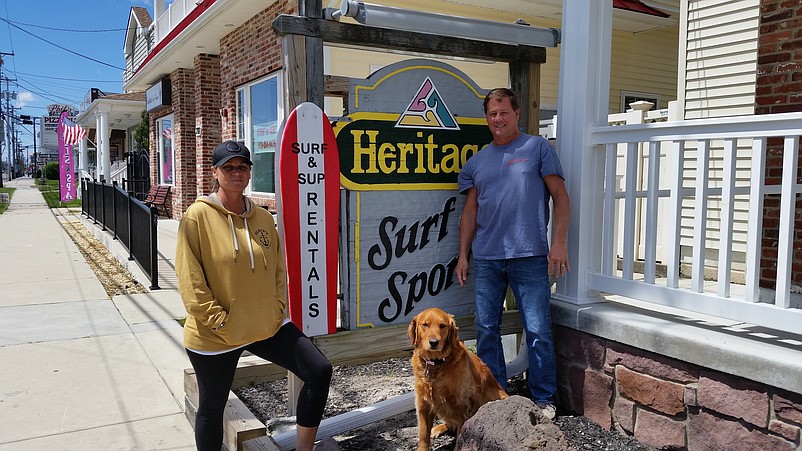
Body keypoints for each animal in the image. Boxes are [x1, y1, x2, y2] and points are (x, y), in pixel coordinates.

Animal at [406, 308, 506, 450]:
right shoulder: (422, 403)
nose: (434, 342)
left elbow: (460, 433)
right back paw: (438, 428)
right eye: (425, 325)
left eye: (442, 325)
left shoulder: (462, 404)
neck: (436, 364)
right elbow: (423, 434)